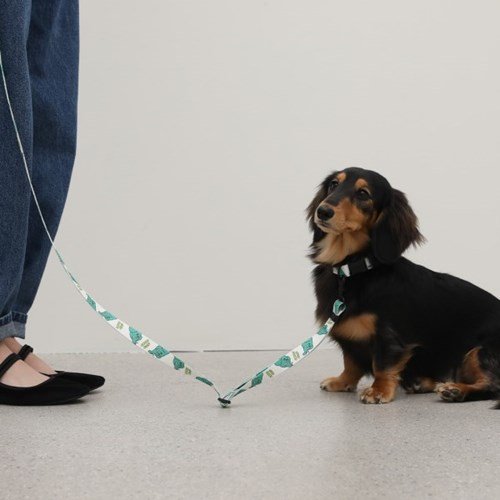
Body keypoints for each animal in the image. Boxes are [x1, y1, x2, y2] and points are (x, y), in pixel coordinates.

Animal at [307, 167, 500, 406]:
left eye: (363, 193)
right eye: (334, 184)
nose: (323, 211)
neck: (350, 270)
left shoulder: (389, 336)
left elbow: (382, 364)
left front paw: (378, 391)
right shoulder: (350, 340)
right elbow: (350, 362)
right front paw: (342, 382)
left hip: (480, 351)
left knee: (492, 386)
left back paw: (455, 390)